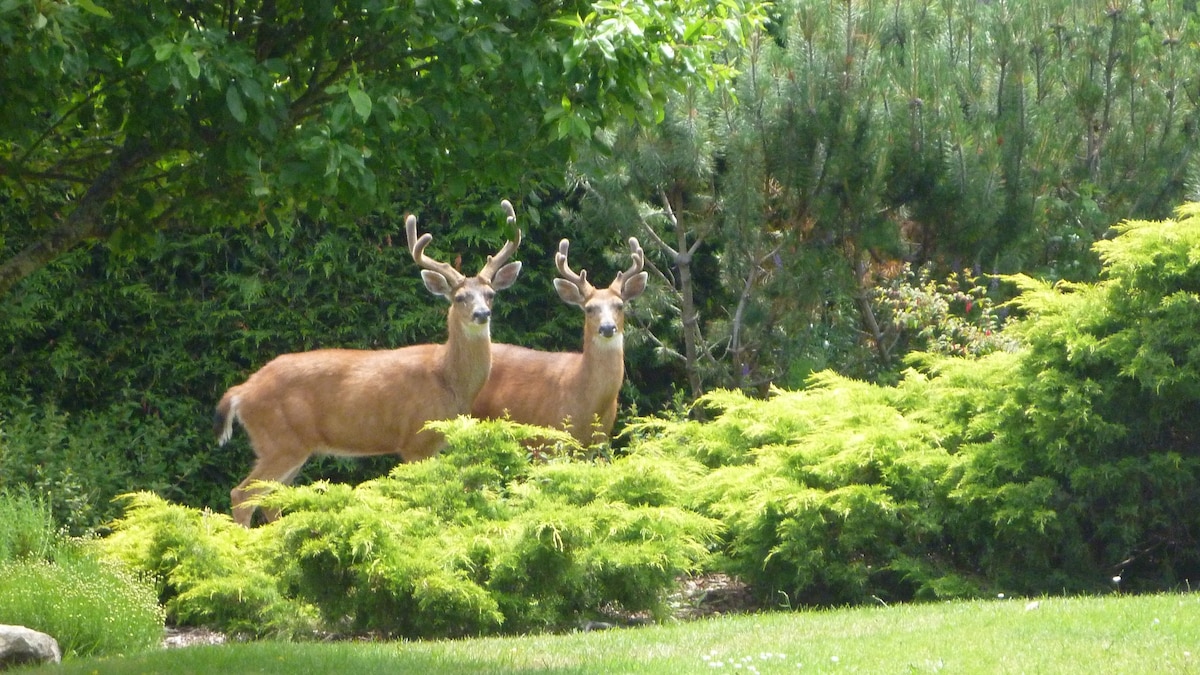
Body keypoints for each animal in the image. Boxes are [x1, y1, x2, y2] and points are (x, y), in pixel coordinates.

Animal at [214, 199, 520, 526]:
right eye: (460, 297)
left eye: (490, 294)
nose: (481, 314)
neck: (448, 379)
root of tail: (241, 392)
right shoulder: (416, 440)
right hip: (279, 439)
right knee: (242, 495)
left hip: (290, 445)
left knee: (270, 500)